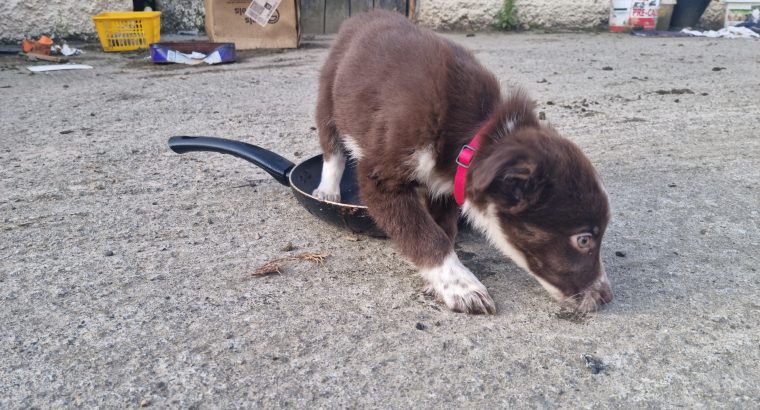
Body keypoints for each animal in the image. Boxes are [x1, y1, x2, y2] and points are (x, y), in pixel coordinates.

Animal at [310, 12, 612, 314]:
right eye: (583, 239)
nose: (606, 297)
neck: (477, 134)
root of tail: (364, 15)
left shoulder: (445, 186)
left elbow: (443, 229)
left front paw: (441, 279)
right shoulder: (381, 177)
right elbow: (427, 234)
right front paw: (463, 286)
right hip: (328, 93)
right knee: (332, 149)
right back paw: (328, 190)